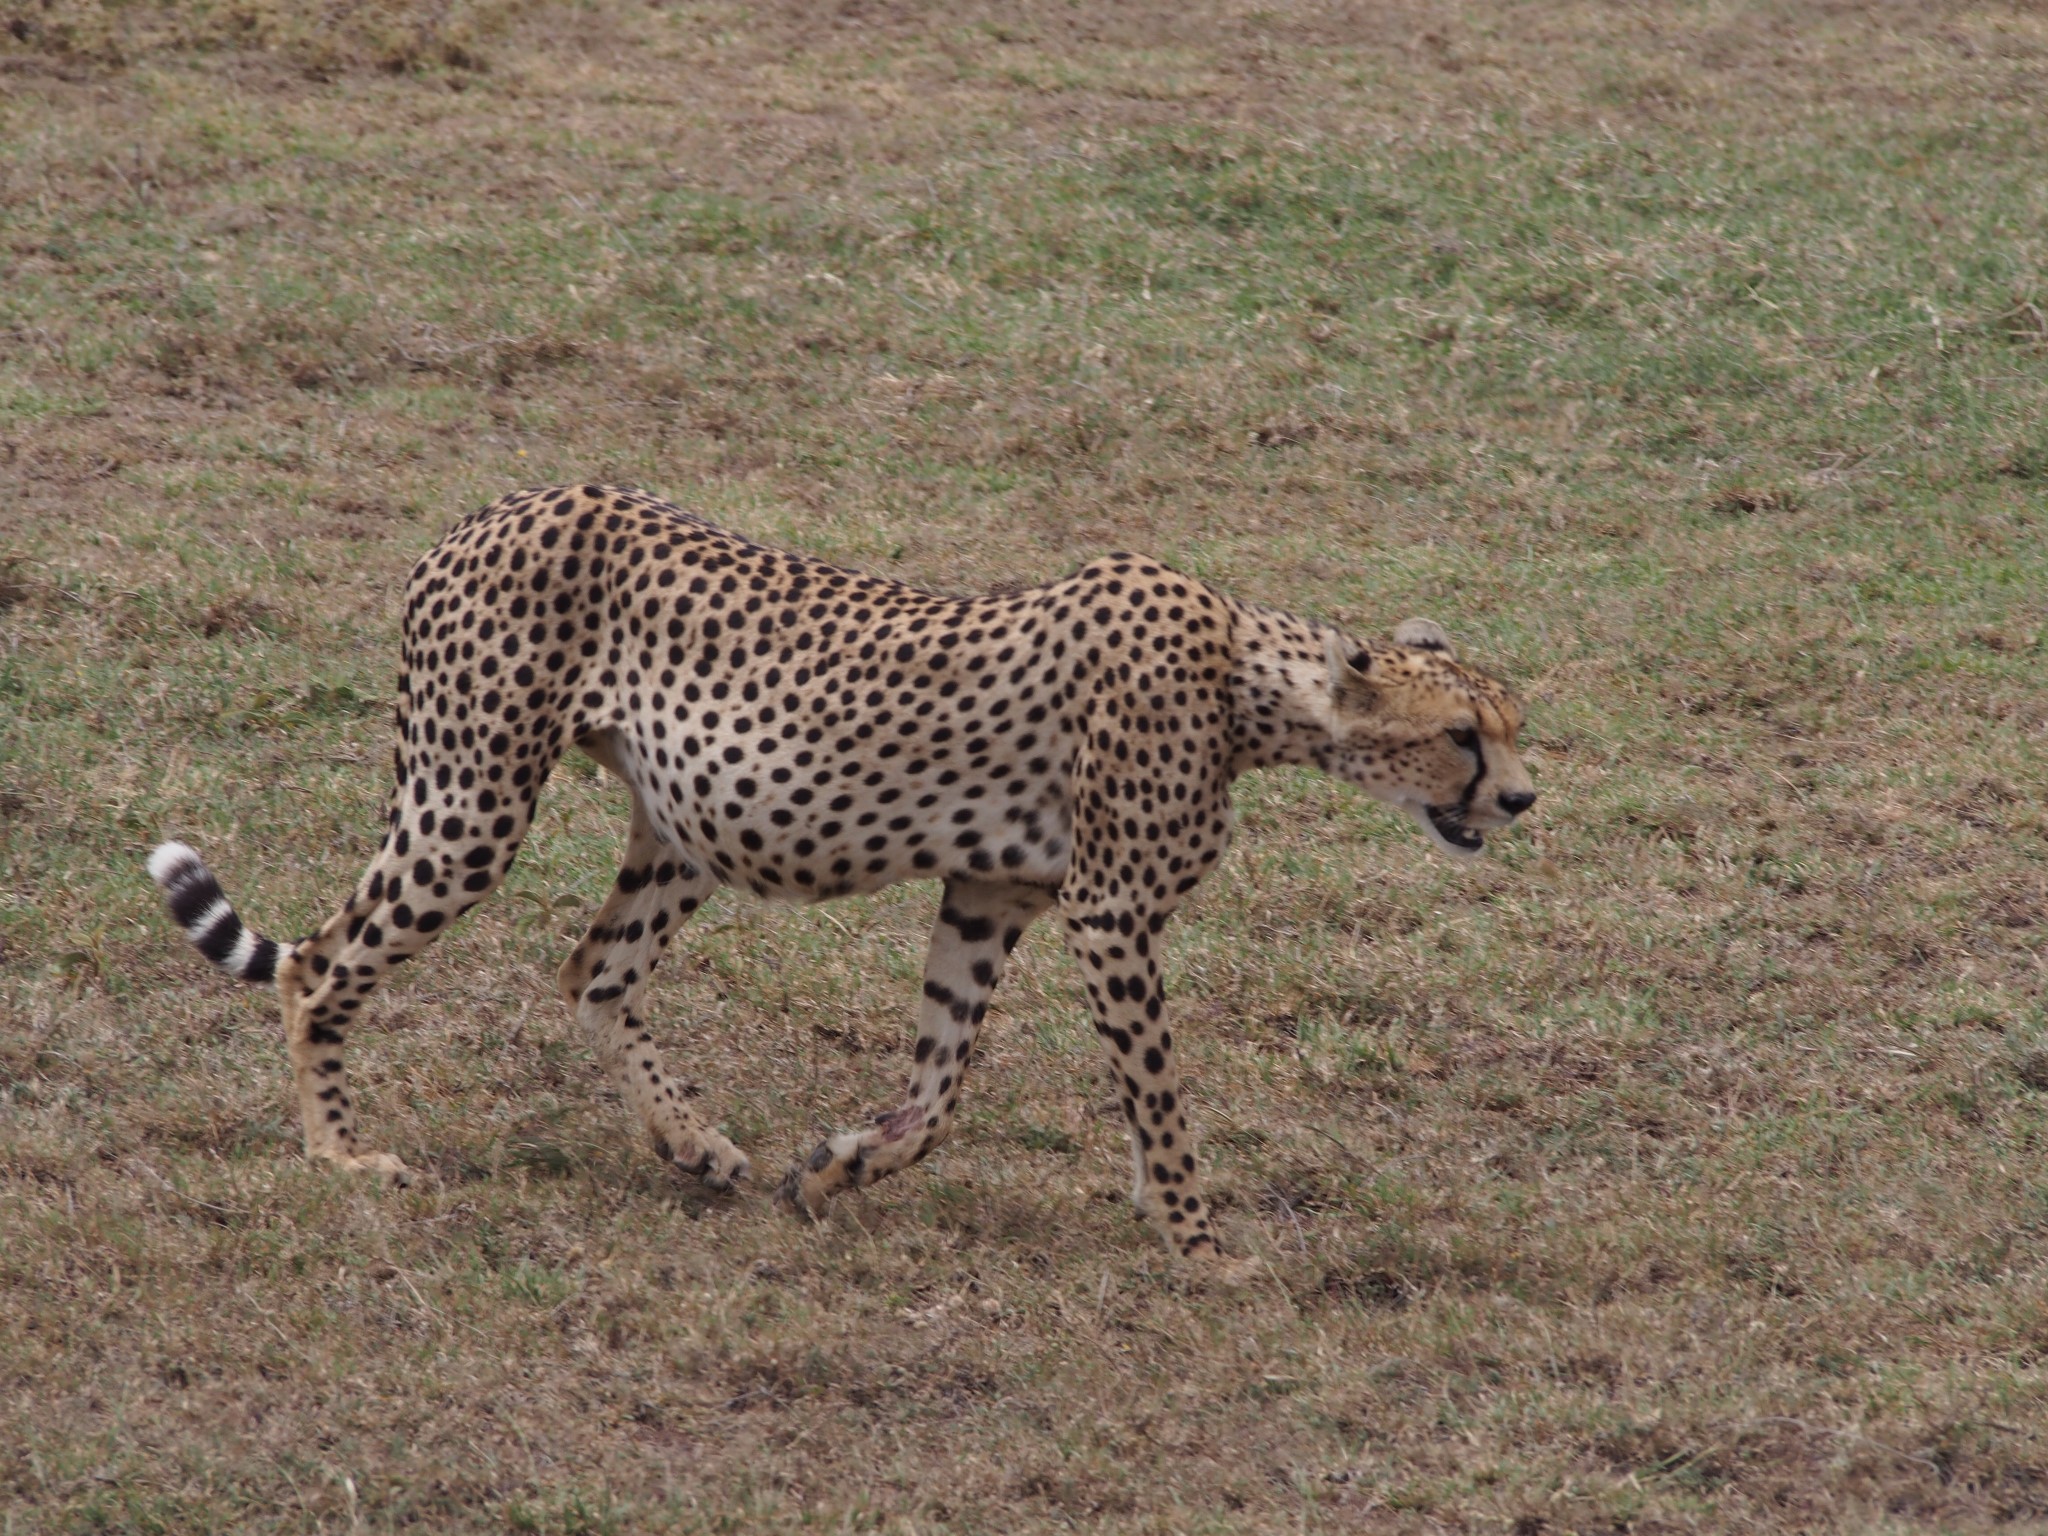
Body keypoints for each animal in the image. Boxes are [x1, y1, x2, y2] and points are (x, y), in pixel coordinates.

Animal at [151, 487, 1540, 1269]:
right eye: (1461, 736)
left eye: (1512, 726)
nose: (1521, 800)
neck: (1251, 685)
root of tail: (493, 510)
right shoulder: (1109, 916)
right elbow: (1155, 1097)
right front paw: (1201, 1246)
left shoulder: (993, 896)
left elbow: (938, 1090)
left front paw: (832, 1169)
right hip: (472, 797)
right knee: (324, 966)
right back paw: (343, 1157)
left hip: (680, 823)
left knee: (591, 970)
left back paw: (696, 1146)